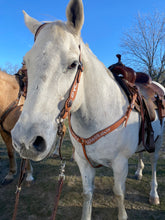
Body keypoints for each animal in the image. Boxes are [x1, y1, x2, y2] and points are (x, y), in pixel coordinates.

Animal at [11, 0, 164, 219]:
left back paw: (153, 194)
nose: (26, 141)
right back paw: (139, 172)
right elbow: (87, 195)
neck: (100, 115)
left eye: (73, 64)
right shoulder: (84, 163)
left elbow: (119, 194)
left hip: (158, 144)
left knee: (154, 163)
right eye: (26, 63)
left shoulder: (120, 164)